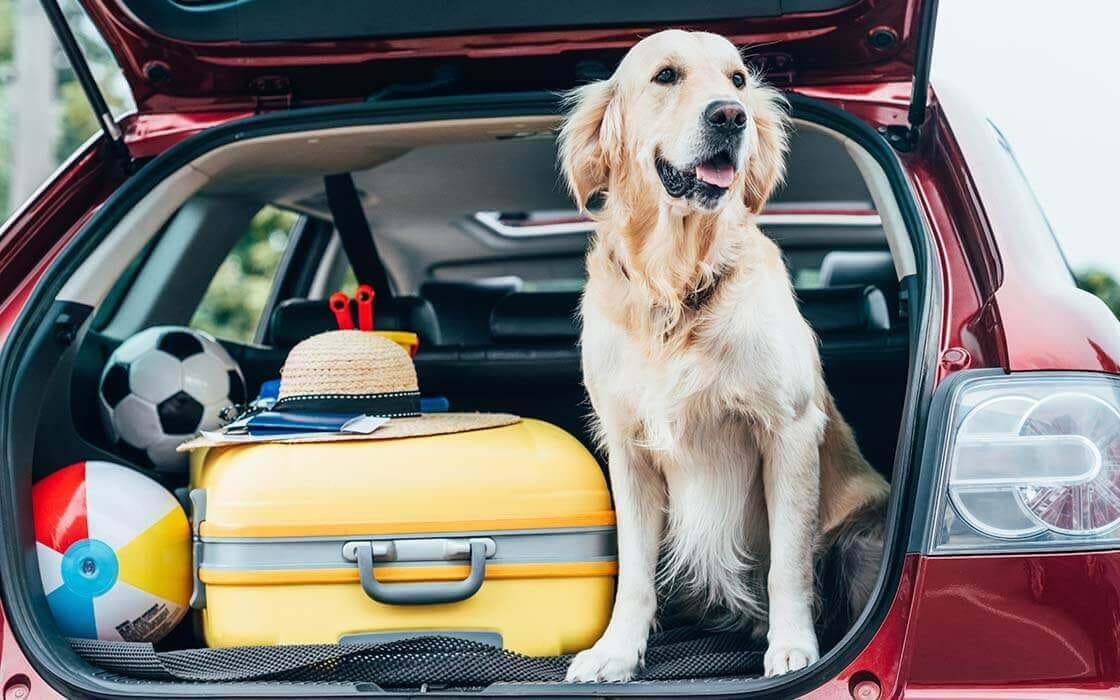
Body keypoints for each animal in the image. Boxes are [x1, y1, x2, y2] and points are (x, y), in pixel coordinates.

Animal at [564, 29, 887, 680]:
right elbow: (634, 573)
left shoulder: (787, 430)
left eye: (737, 79)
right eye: (666, 75)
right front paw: (616, 651)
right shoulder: (629, 448)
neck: (677, 285)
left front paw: (793, 647)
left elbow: (789, 563)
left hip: (862, 535)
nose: (731, 116)